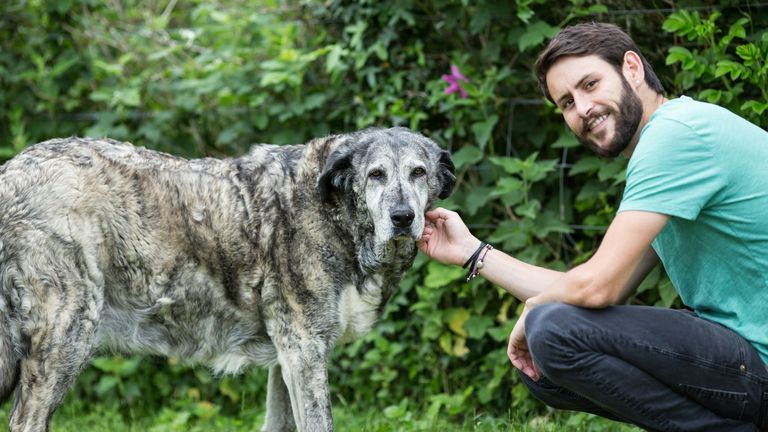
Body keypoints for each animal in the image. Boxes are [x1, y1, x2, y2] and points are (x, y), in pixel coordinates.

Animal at [0, 128, 456, 432]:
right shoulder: (304, 350)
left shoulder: (288, 359)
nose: (403, 217)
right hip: (68, 337)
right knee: (24, 421)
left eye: (418, 172)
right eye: (376, 175)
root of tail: (10, 170)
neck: (335, 214)